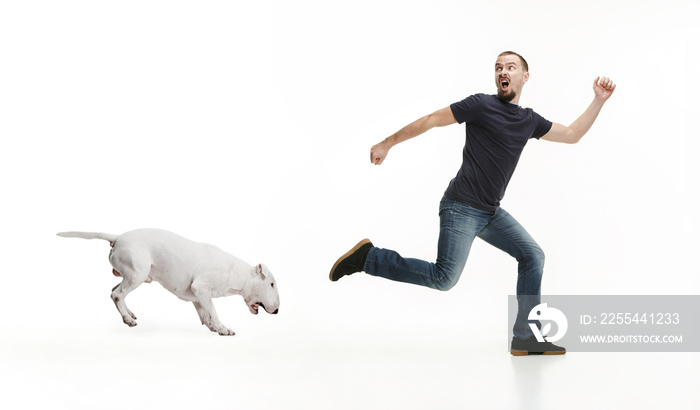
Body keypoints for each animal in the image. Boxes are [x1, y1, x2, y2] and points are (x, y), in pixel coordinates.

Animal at [57, 227, 280, 336]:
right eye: (271, 284)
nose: (277, 311)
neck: (236, 273)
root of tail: (118, 237)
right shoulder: (201, 287)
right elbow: (214, 312)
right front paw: (224, 329)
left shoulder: (197, 296)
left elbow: (205, 315)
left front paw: (214, 328)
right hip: (137, 274)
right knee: (116, 294)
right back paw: (128, 320)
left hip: (130, 275)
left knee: (114, 291)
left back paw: (130, 313)